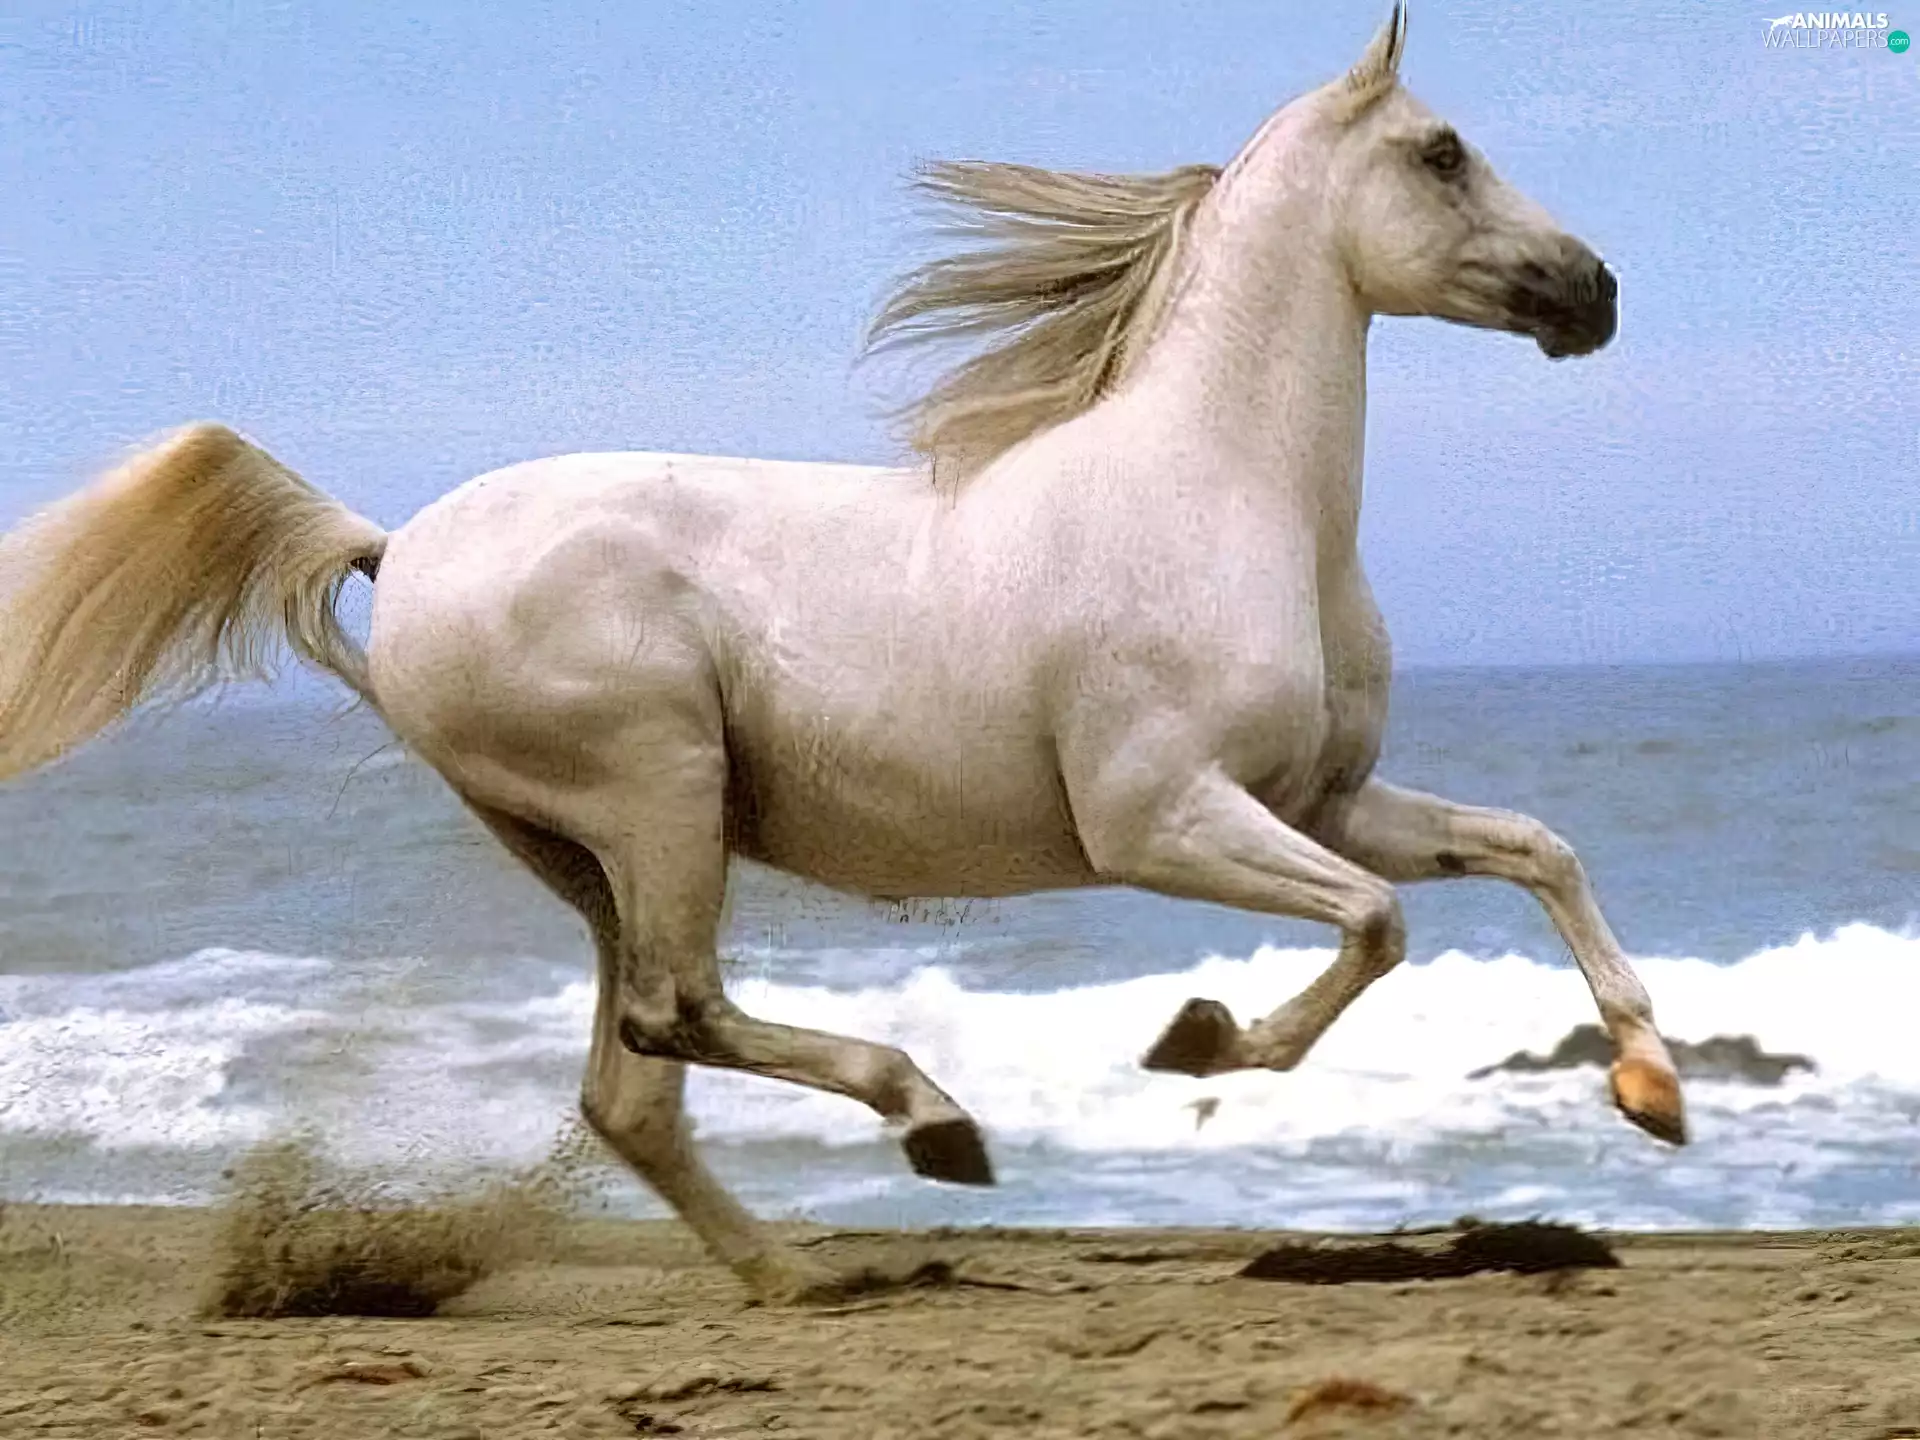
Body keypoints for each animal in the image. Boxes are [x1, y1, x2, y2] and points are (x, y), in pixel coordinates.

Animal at [0, 6, 1685, 1302]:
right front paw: (1201, 1040)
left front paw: (1652, 1092)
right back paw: (933, 1124)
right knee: (674, 1014)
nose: (1596, 290)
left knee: (628, 1084)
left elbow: (1532, 849)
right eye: (1442, 151)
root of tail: (398, 545)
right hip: (659, 791)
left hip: (584, 849)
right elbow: (1380, 927)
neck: (1224, 496)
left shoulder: (1323, 799)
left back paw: (799, 1270)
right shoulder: (1161, 818)